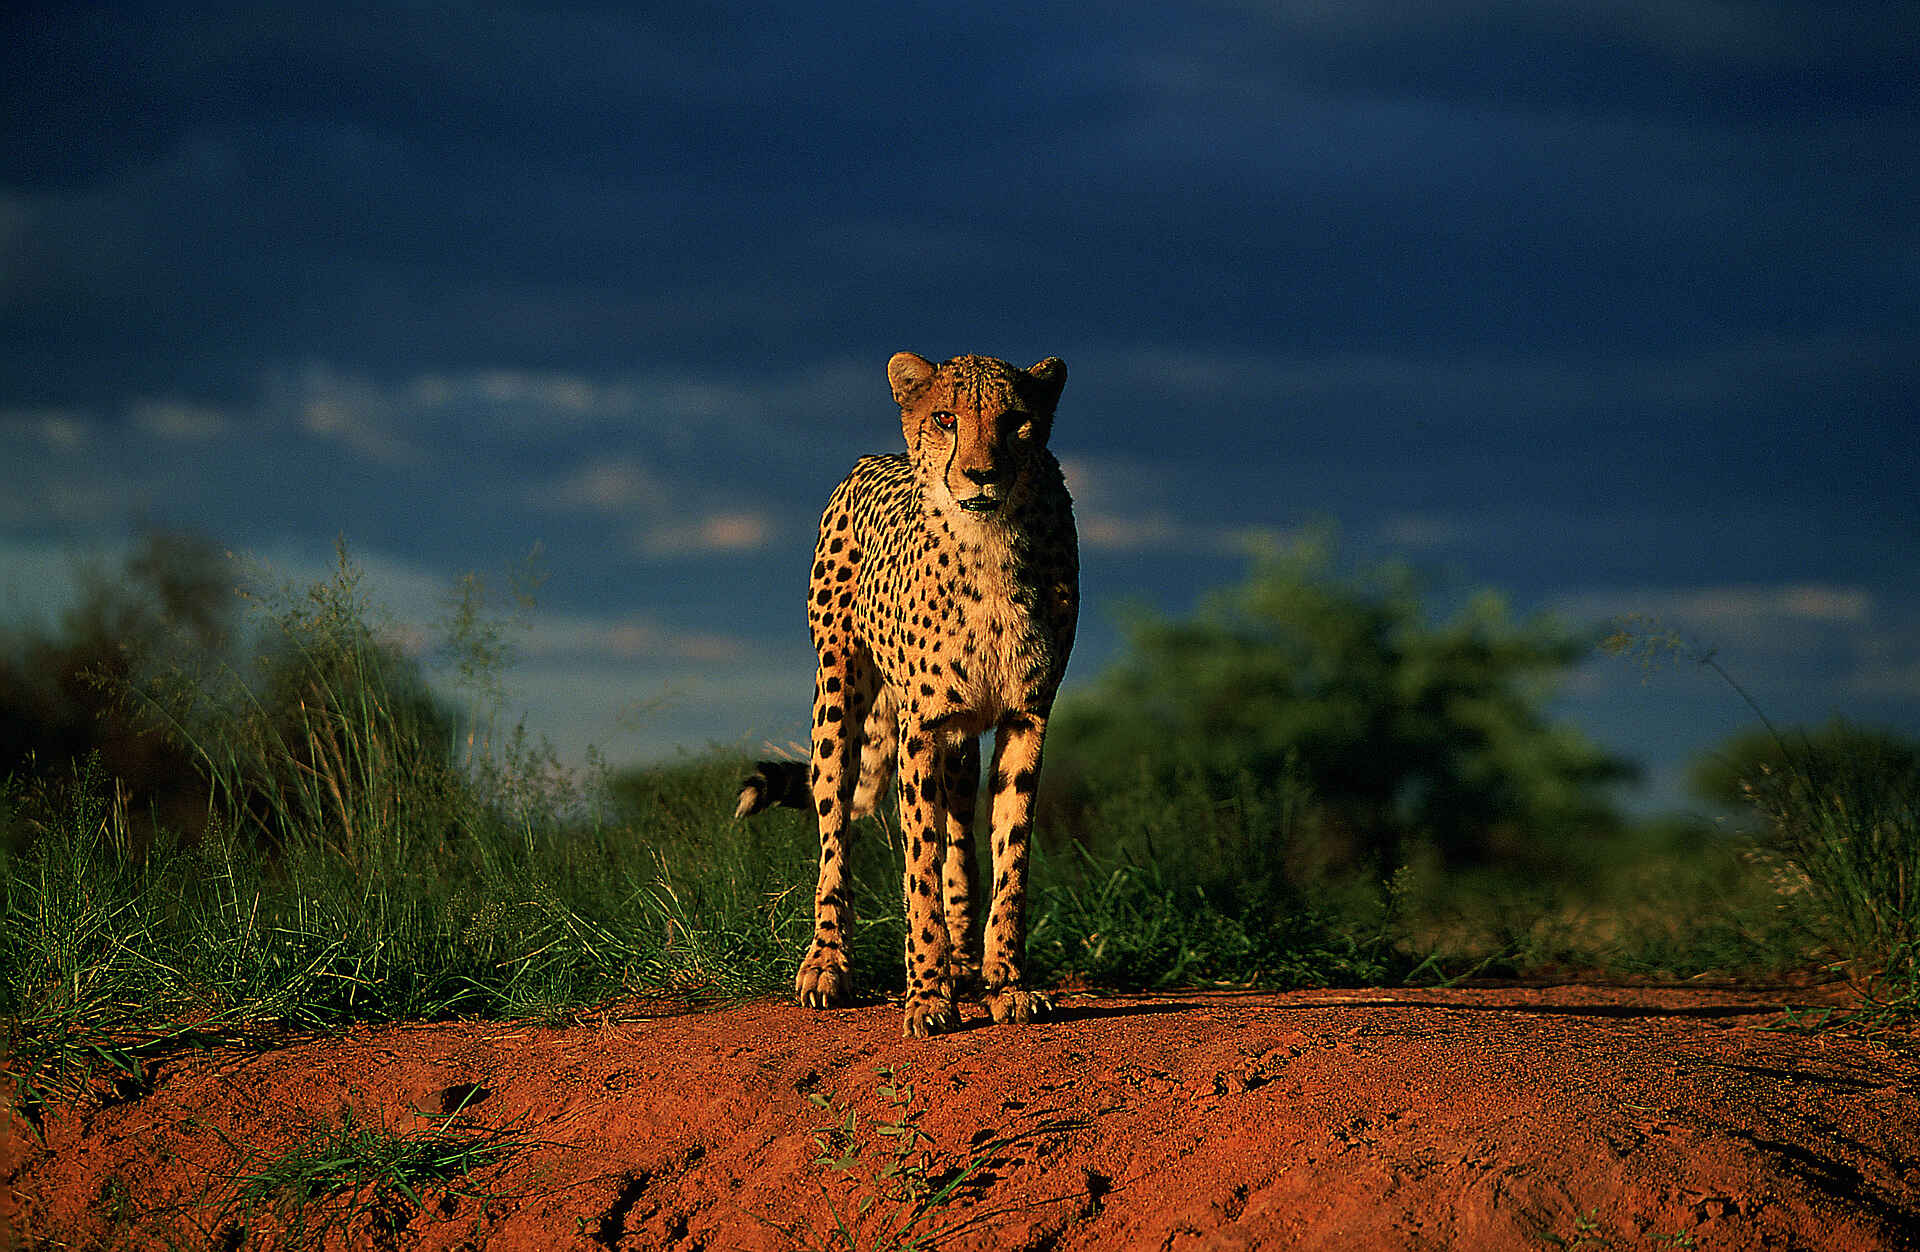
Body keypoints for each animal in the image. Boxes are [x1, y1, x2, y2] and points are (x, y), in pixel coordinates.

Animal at [734, 351, 1078, 1038]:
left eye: (1017, 421)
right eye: (945, 418)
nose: (980, 475)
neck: (990, 542)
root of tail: (873, 459)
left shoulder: (1026, 716)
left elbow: (1009, 855)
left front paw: (1006, 983)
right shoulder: (922, 723)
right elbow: (918, 863)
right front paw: (926, 995)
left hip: (961, 739)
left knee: (959, 836)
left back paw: (965, 963)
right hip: (838, 697)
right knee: (834, 827)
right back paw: (828, 962)